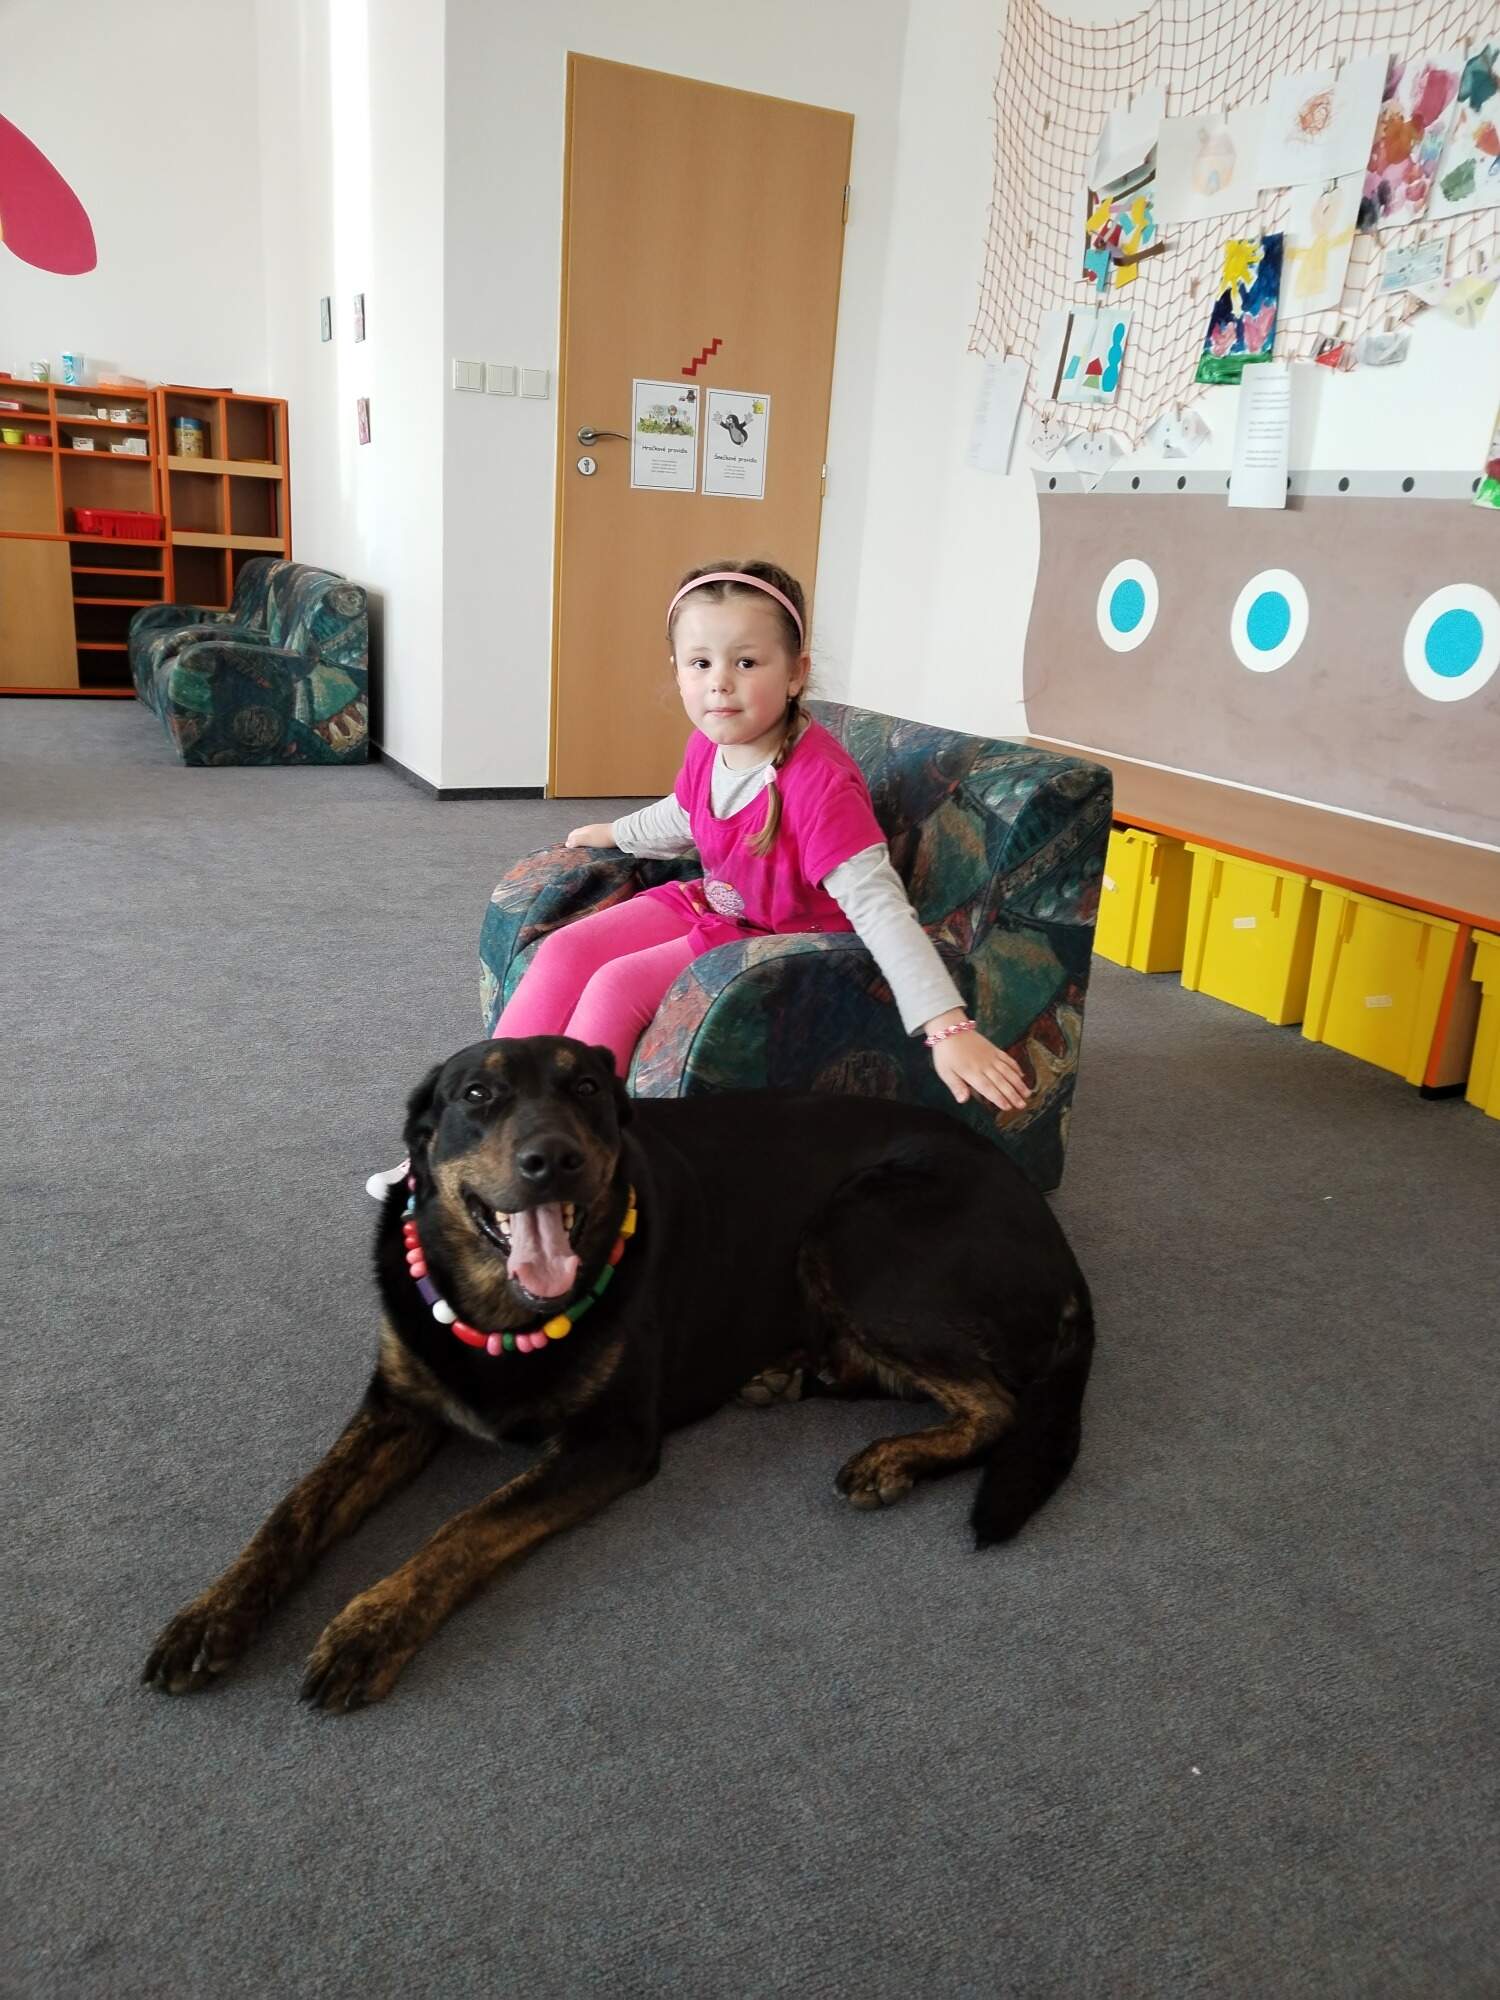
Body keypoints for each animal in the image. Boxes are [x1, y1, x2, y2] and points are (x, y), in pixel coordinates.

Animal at [144, 1036, 1094, 1711]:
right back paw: (789, 1376)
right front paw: (213, 1613)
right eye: (477, 1096)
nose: (552, 1159)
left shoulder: (610, 1440)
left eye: (588, 1091)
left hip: (858, 1228)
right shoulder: (397, 1408)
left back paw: (891, 1457)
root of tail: (1053, 1232)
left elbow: (465, 1526)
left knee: (996, 1402)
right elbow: (292, 1512)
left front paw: (373, 1624)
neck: (502, 1308)